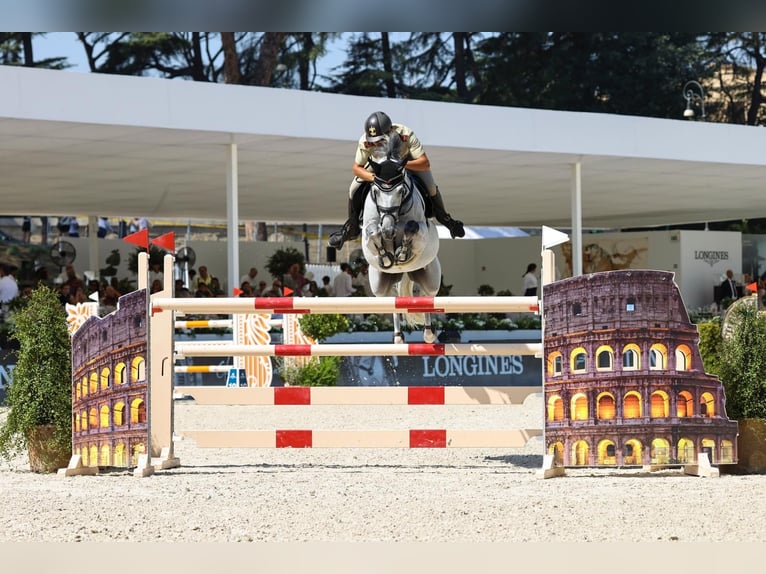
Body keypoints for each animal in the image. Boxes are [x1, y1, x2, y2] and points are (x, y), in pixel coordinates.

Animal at [360, 133, 442, 344]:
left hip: (430, 278)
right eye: (376, 191)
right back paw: (398, 337)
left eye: (401, 190)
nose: (388, 229)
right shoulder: (368, 232)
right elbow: (373, 232)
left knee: (426, 298)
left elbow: (412, 228)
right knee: (392, 302)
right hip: (380, 285)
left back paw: (429, 334)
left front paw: (402, 253)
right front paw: (387, 256)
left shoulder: (422, 232)